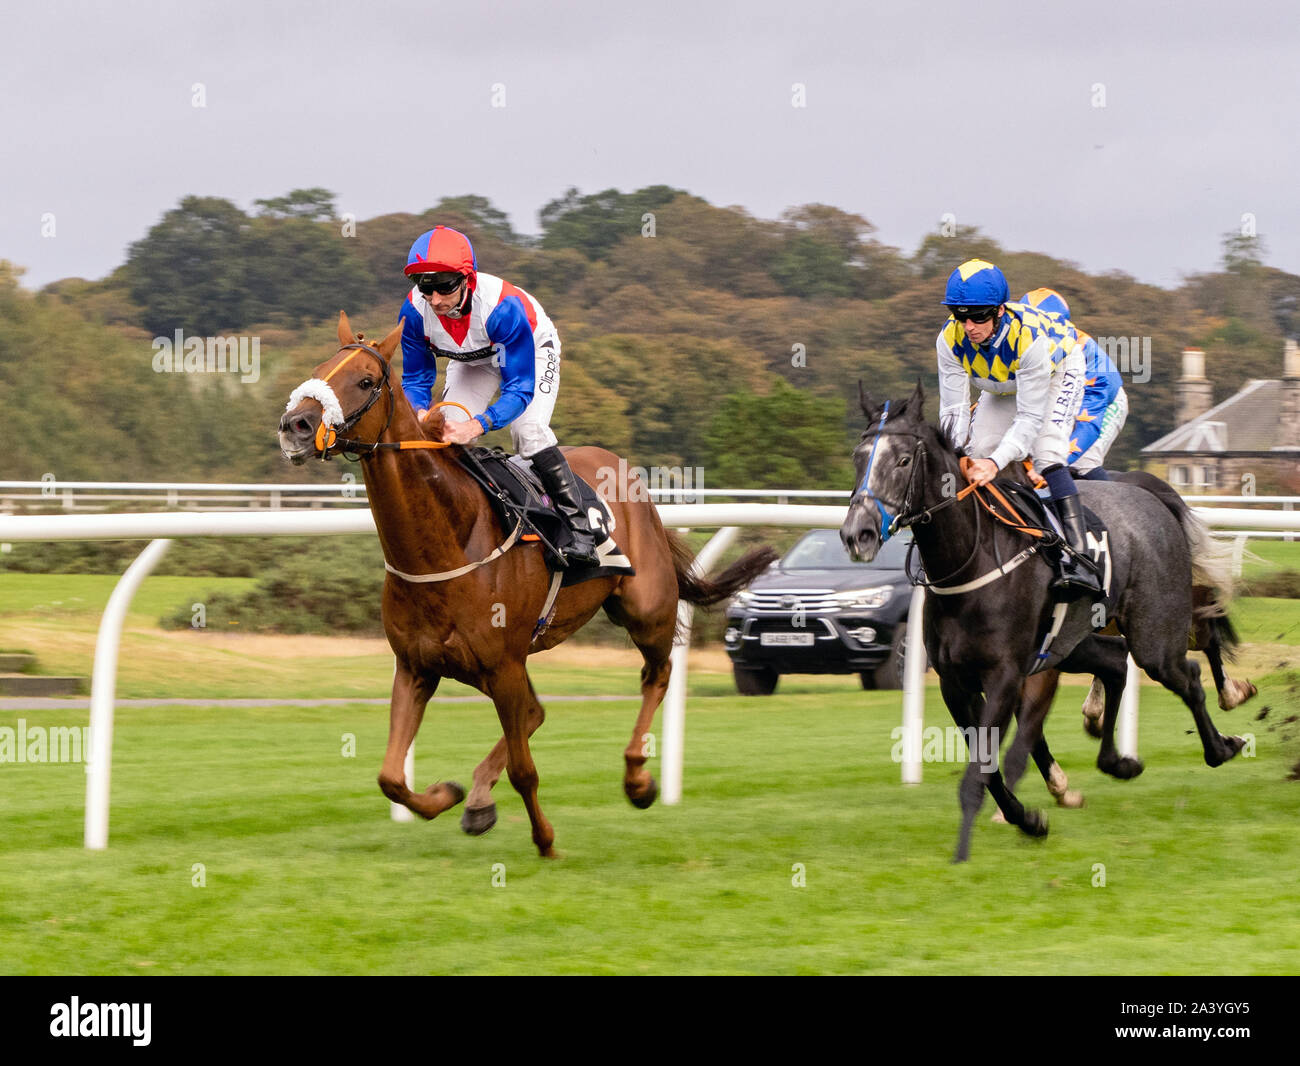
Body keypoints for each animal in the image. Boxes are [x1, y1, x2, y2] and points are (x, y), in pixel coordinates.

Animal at [279, 310, 774, 857]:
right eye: (318, 369)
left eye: (366, 381)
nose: (295, 425)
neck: (447, 539)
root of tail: (631, 478)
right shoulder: (418, 666)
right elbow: (390, 777)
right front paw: (448, 794)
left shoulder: (503, 665)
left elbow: (524, 770)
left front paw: (546, 840)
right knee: (538, 711)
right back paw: (479, 797)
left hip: (645, 609)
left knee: (657, 674)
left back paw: (638, 780)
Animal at [837, 387, 1242, 863]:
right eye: (858, 457)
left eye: (902, 460)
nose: (857, 534)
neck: (970, 561)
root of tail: (1151, 495)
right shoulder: (957, 682)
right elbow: (989, 765)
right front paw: (1028, 819)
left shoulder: (1006, 675)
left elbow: (991, 764)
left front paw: (964, 850)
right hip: (1073, 643)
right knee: (1116, 663)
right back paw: (1119, 761)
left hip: (1154, 634)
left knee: (1188, 674)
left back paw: (1221, 744)